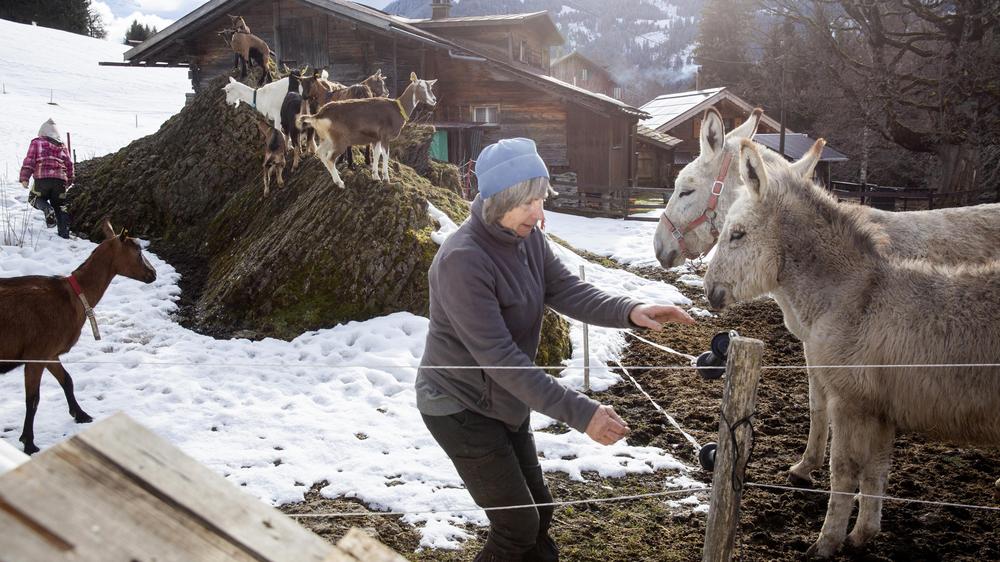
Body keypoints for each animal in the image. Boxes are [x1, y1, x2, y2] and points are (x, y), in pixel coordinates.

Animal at [0, 221, 156, 452]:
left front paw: (81, 415)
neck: (74, 297)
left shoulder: (51, 353)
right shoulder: (36, 353)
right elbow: (33, 399)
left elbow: (67, 380)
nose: (153, 274)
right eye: (138, 252)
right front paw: (29, 443)